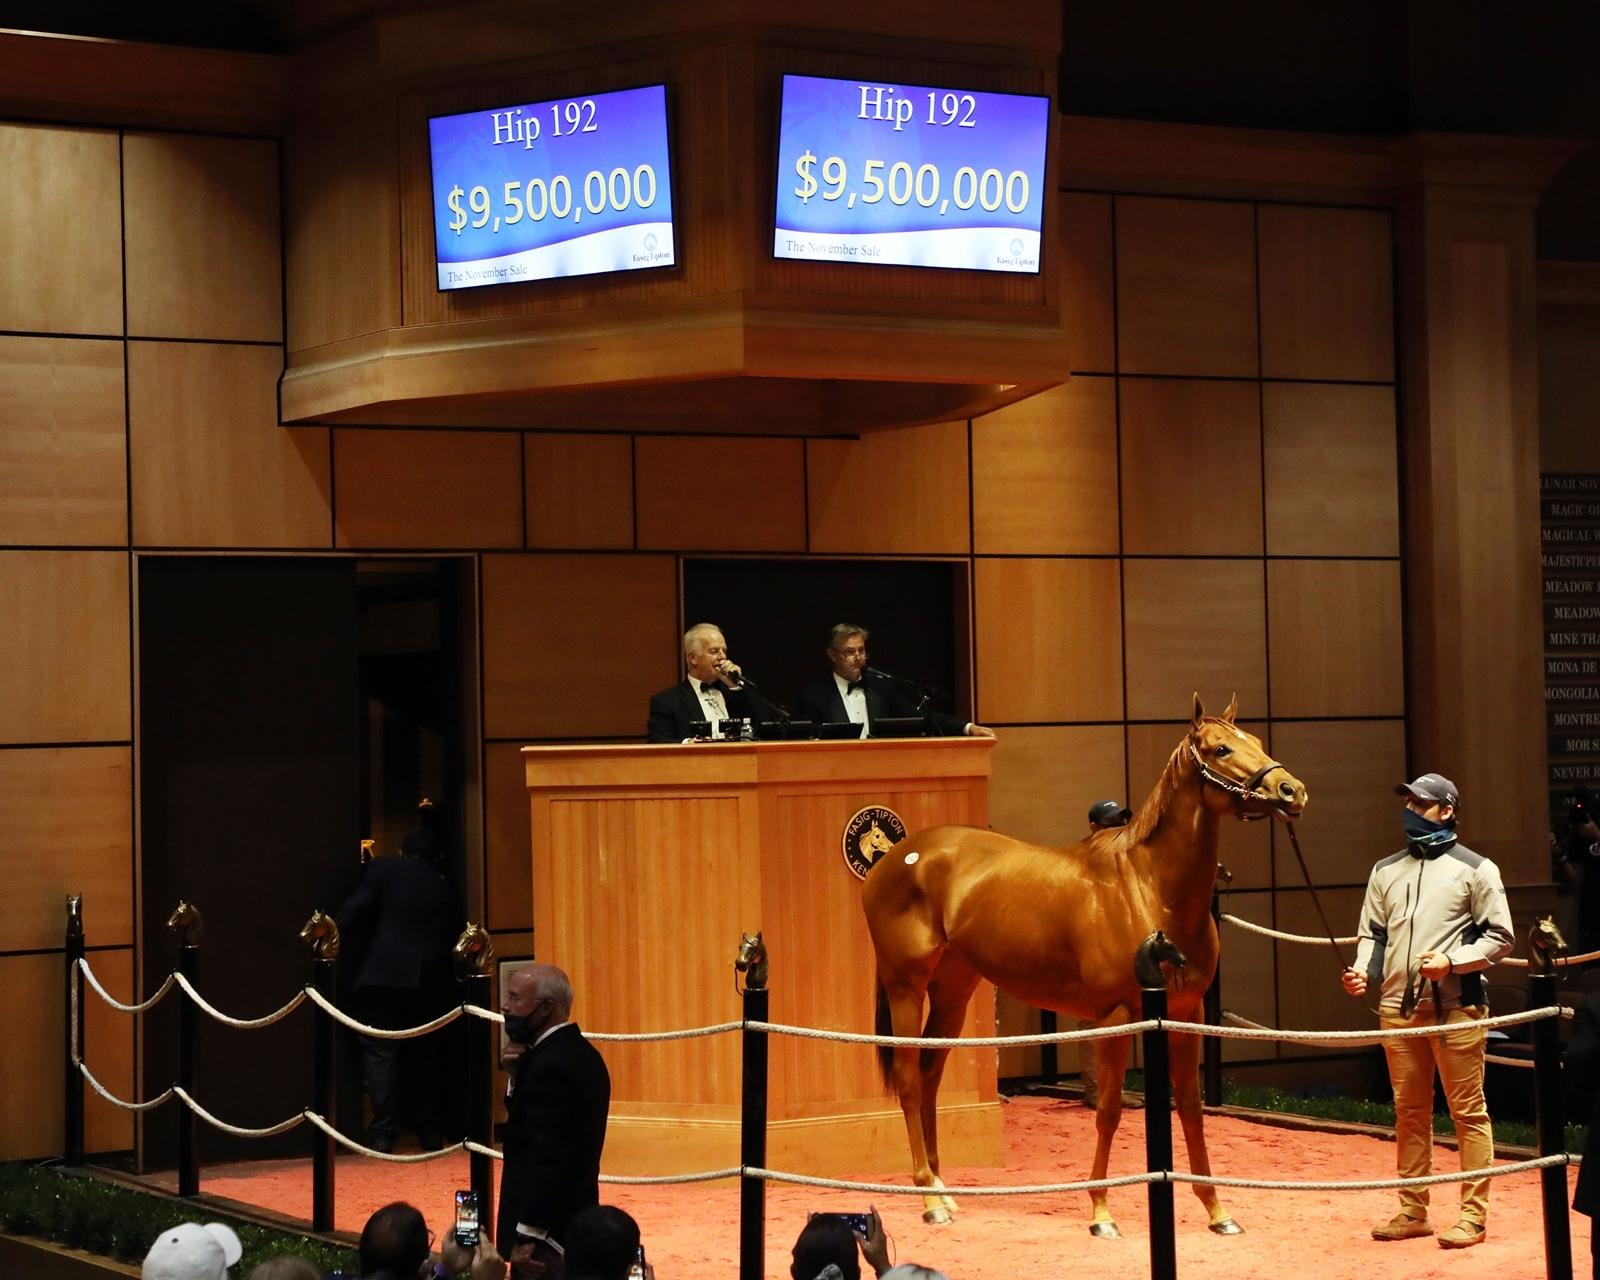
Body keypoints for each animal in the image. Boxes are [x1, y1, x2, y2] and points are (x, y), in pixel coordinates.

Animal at [861, 694, 1308, 1236]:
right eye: (1221, 748)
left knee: (928, 1076)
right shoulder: (1116, 1017)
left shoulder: (1188, 1014)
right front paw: (1100, 1211)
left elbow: (1192, 1108)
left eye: (1257, 741)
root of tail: (897, 856)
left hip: (954, 988)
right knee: (908, 1080)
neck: (1150, 888)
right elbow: (1109, 1110)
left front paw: (1217, 1210)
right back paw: (928, 1199)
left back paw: (945, 1192)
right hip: (905, 983)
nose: (1291, 790)